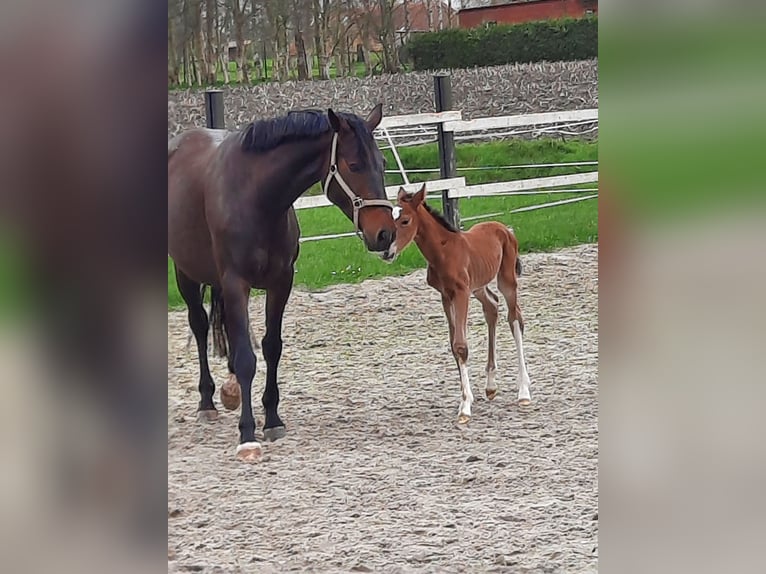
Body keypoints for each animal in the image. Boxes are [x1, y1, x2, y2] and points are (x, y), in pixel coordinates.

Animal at [168, 104, 396, 464]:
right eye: (354, 165)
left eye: (383, 163)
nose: (385, 234)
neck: (258, 198)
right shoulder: (236, 282)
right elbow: (247, 358)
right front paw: (248, 434)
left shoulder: (281, 282)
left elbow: (271, 347)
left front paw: (272, 419)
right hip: (186, 274)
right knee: (200, 326)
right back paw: (207, 402)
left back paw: (230, 391)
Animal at [390, 187, 536, 426]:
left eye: (405, 221)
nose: (387, 251)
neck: (444, 251)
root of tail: (504, 228)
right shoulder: (446, 296)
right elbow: (453, 345)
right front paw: (465, 399)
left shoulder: (460, 294)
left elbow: (461, 345)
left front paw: (465, 407)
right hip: (478, 286)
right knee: (492, 307)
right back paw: (491, 386)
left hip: (506, 279)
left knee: (515, 319)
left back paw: (523, 391)